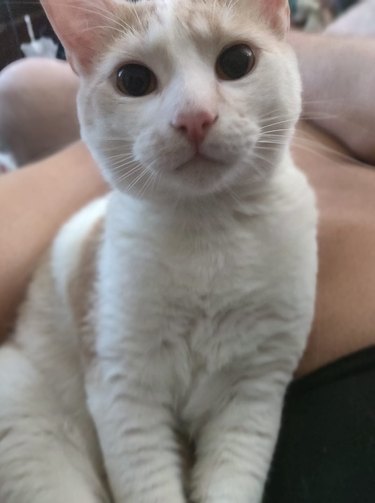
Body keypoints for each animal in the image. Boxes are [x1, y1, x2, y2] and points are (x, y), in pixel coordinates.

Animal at [0, 0, 318, 503]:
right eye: (133, 80)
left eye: (236, 61)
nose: (194, 117)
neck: (208, 233)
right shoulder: (124, 393)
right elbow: (149, 485)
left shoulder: (253, 393)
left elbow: (230, 483)